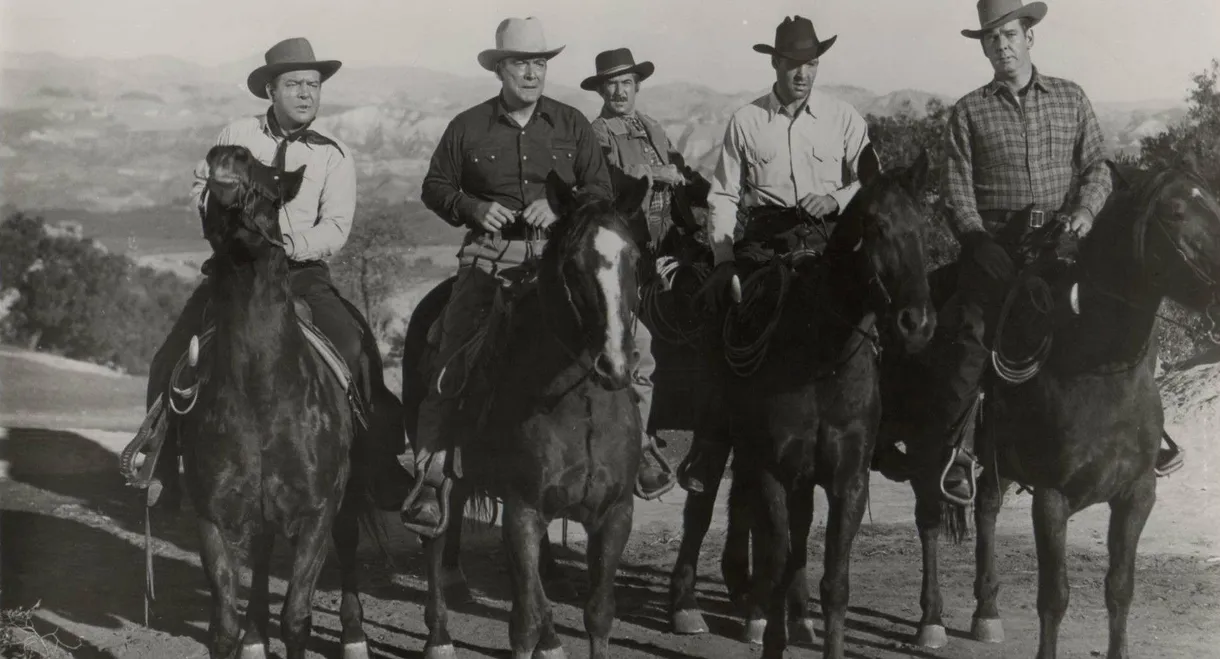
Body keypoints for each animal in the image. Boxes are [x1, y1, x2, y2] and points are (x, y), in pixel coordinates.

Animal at [178, 145, 374, 659]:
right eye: (206, 183)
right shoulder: (212, 516)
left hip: (350, 495)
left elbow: (297, 619)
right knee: (263, 557)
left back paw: (354, 635)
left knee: (349, 545)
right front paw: (244, 634)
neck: (261, 395)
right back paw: (254, 636)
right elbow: (223, 624)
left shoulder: (317, 515)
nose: (229, 155)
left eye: (270, 182)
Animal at [667, 149, 937, 659]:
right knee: (703, 503)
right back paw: (690, 605)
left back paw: (794, 615)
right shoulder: (774, 469)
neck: (820, 359)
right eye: (875, 225)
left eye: (925, 225)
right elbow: (775, 559)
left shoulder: (847, 481)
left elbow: (834, 581)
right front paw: (767, 631)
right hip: (722, 438)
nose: (916, 323)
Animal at [887, 157, 1220, 659]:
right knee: (928, 519)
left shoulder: (1137, 494)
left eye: (1214, 203)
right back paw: (931, 622)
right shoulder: (1051, 497)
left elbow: (1120, 589)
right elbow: (1054, 596)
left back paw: (987, 613)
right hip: (927, 447)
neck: (1098, 370)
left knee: (986, 508)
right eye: (1176, 212)